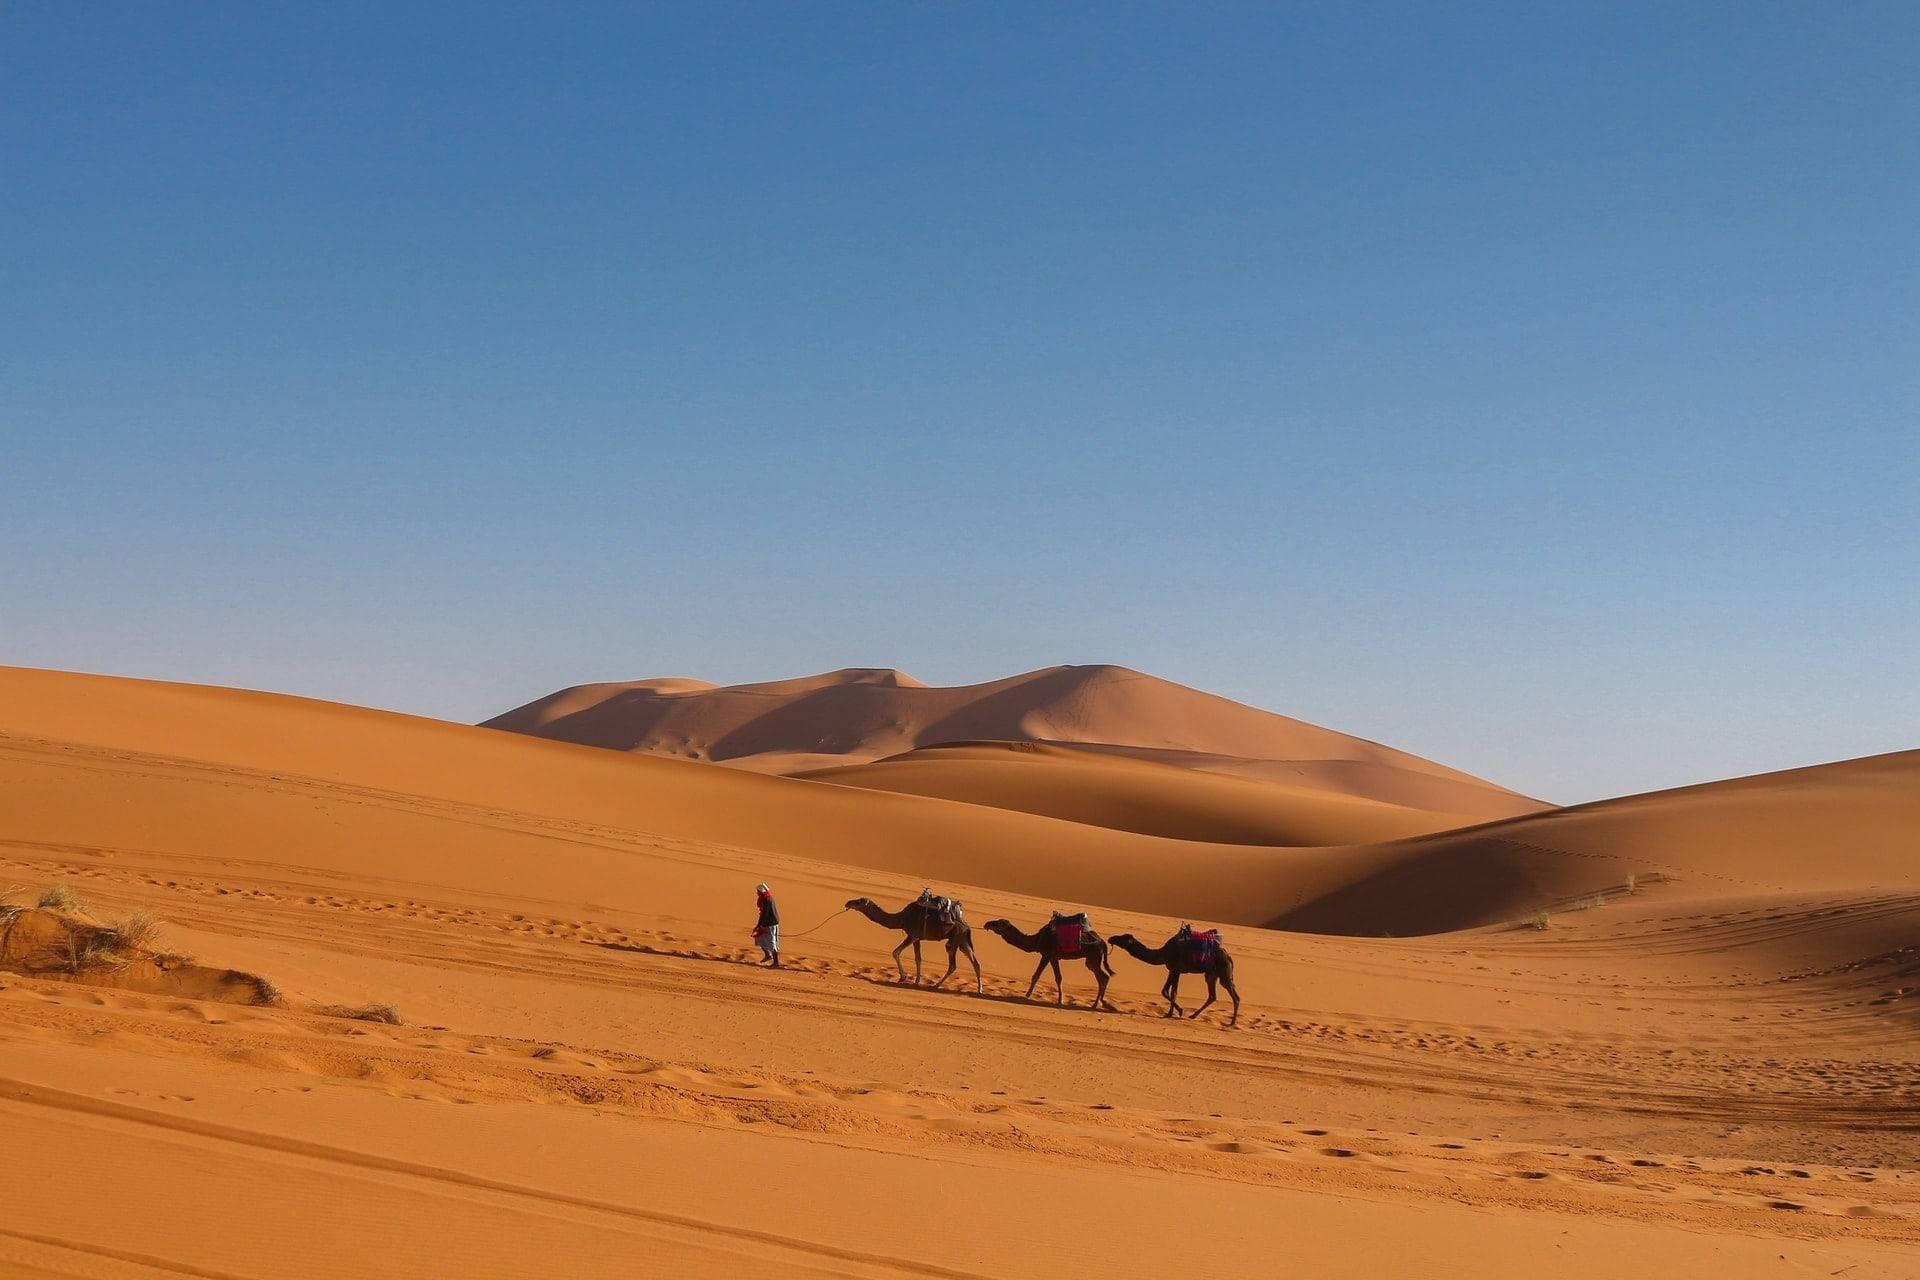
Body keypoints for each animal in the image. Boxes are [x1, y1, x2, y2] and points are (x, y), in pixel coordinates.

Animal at [844, 898, 983, 997]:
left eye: (859, 902)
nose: (848, 903)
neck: (901, 919)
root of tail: (967, 926)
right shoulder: (918, 938)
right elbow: (918, 959)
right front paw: (916, 981)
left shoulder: (912, 935)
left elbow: (896, 952)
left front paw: (903, 978)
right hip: (963, 941)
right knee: (975, 962)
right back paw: (979, 990)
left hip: (954, 939)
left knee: (953, 964)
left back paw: (936, 985)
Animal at [983, 909, 1121, 1013]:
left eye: (998, 923)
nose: (986, 924)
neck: (1037, 939)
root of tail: (1103, 942)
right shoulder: (1054, 957)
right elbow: (1058, 978)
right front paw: (1060, 1000)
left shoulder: (1046, 954)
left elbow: (1036, 975)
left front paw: (1027, 995)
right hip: (1092, 959)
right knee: (1103, 976)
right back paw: (1100, 1003)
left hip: (1093, 957)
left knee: (1103, 977)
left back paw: (1096, 1004)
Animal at [1113, 921, 1244, 1028]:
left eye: (1123, 938)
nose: (1111, 938)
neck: (1164, 953)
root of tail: (1228, 956)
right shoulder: (1172, 970)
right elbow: (1166, 990)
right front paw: (1175, 1012)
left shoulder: (1176, 969)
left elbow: (1172, 992)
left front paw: (1173, 1013)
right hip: (1211, 974)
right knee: (1212, 996)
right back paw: (1193, 1016)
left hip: (1224, 973)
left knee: (1235, 997)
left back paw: (1231, 1023)